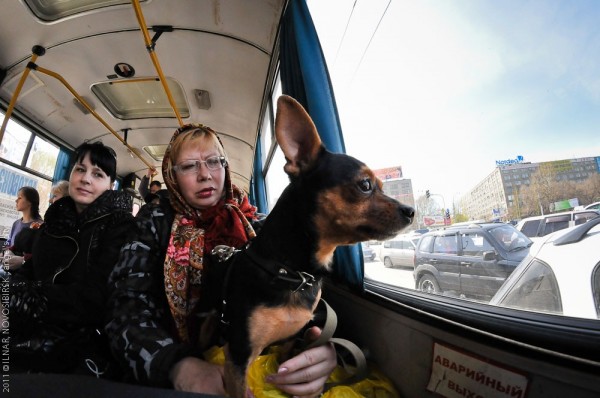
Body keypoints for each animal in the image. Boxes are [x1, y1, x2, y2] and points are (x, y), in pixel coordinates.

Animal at [206, 95, 412, 396]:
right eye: (365, 185)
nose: (411, 211)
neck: (292, 273)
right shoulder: (238, 358)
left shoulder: (294, 337)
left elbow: (285, 360)